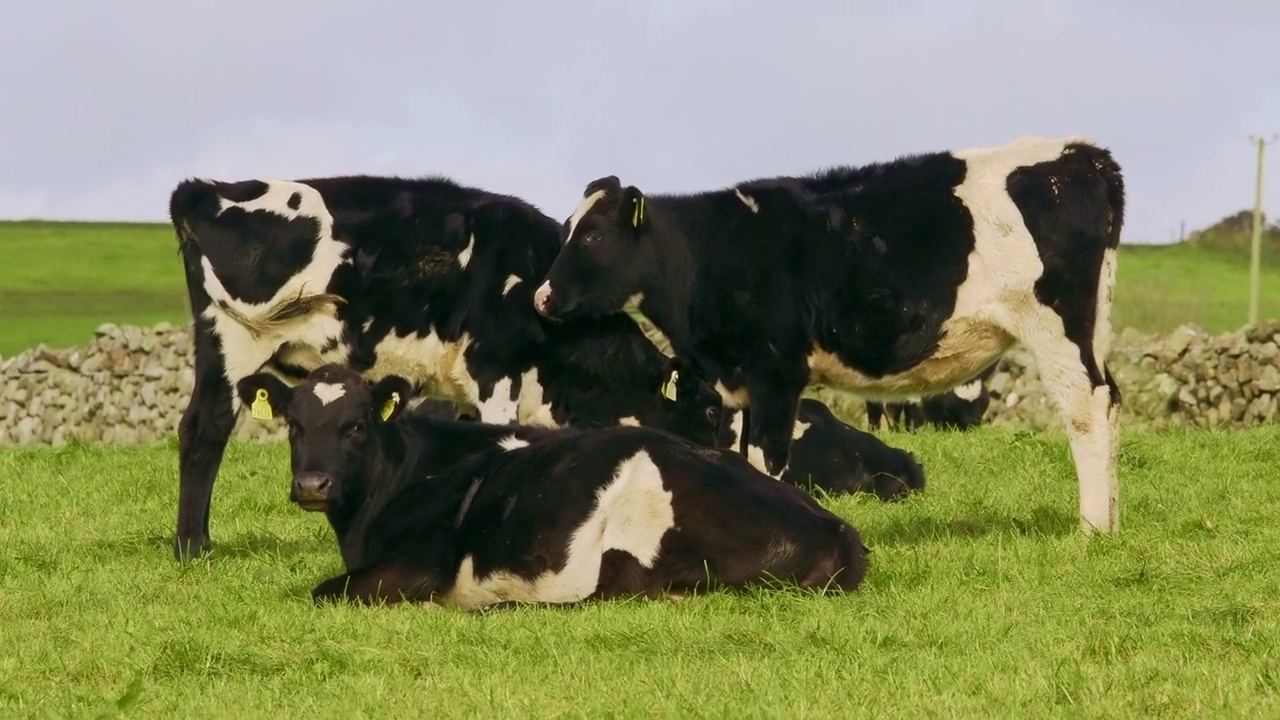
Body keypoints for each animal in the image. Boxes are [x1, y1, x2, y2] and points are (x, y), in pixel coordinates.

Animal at [230, 363, 870, 604]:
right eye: (294, 424)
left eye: (357, 425)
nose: (313, 484)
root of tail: (836, 528)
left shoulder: (420, 566)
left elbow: (323, 590)